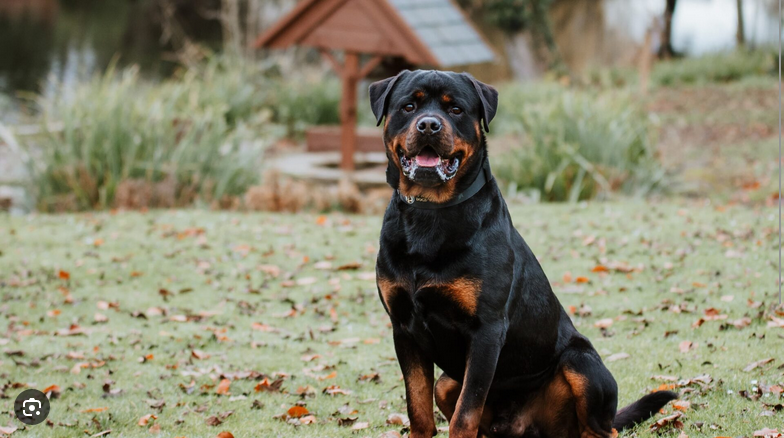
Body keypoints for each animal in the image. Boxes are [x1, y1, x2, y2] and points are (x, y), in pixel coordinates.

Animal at [370, 70, 676, 436]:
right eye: (409, 106)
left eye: (455, 109)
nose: (429, 124)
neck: (431, 212)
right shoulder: (403, 327)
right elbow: (418, 407)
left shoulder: (486, 330)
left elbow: (466, 412)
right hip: (448, 382)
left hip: (581, 364)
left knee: (601, 428)